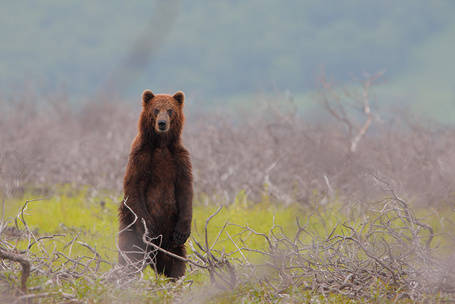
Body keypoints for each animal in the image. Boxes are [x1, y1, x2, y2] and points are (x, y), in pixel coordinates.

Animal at [117, 89, 192, 280]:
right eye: (156, 110)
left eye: (170, 110)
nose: (162, 123)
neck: (161, 144)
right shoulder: (141, 157)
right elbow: (134, 187)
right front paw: (149, 228)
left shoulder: (179, 159)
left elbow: (185, 190)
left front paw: (183, 231)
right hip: (131, 229)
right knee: (130, 255)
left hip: (169, 235)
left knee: (176, 258)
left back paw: (175, 278)